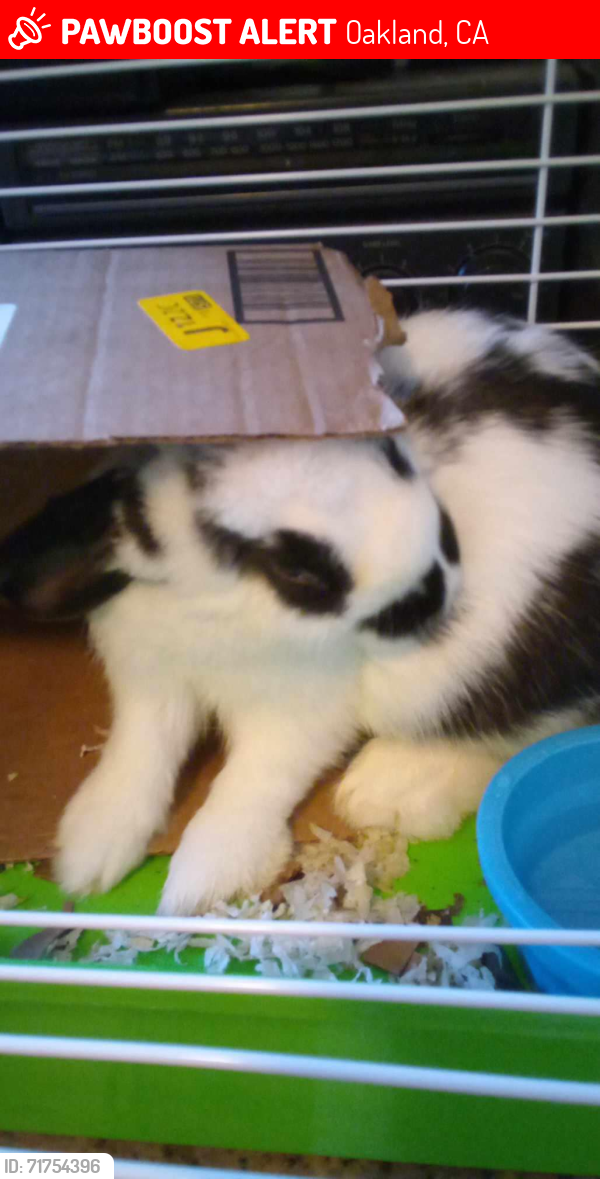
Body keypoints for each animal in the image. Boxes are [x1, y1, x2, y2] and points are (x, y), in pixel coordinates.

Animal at [1, 306, 599, 915]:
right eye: (297, 572)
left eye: (388, 451)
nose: (439, 582)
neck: (209, 609)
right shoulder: (150, 686)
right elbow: (139, 754)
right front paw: (88, 851)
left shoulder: (297, 716)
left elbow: (248, 784)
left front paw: (198, 883)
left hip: (469, 675)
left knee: (522, 733)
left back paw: (382, 788)